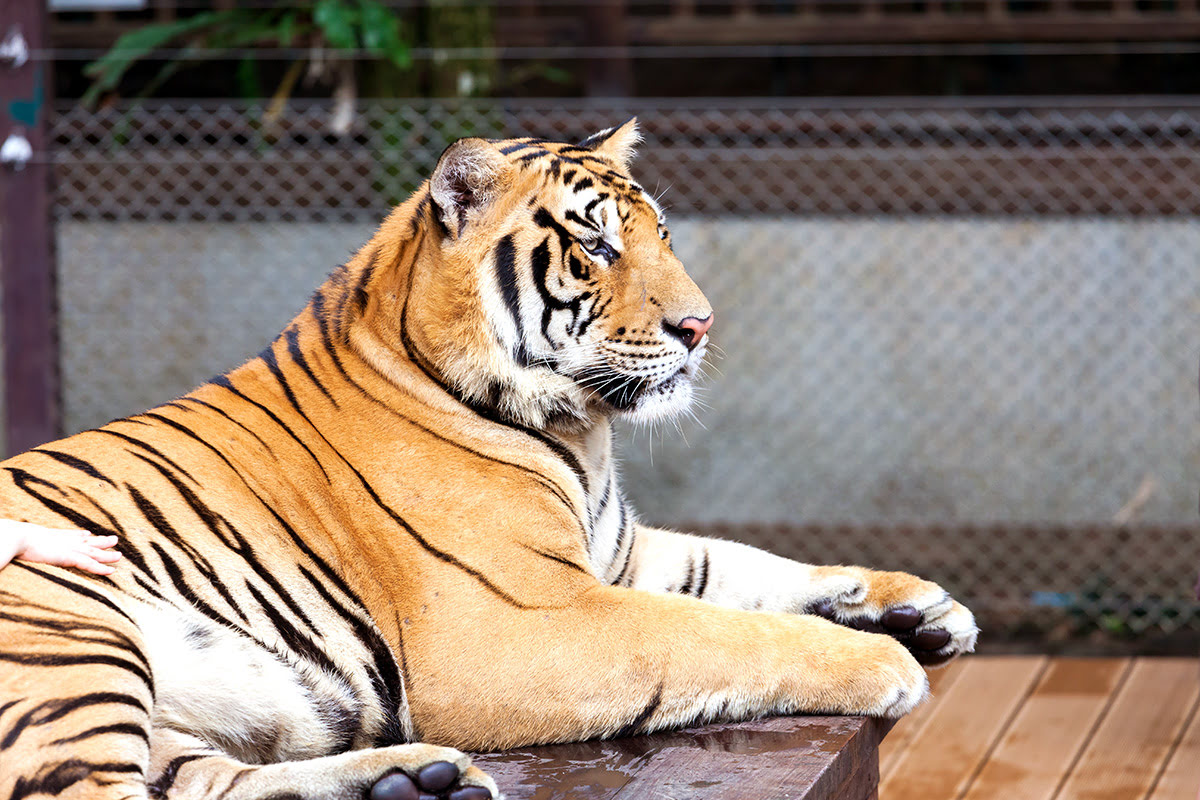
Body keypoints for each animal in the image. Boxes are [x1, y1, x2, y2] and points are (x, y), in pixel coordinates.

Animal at [0, 120, 974, 800]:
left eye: (661, 234)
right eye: (597, 245)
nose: (699, 327)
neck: (580, 435)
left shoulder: (618, 554)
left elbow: (745, 568)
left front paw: (919, 608)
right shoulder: (527, 621)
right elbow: (722, 630)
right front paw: (882, 663)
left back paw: (408, 782)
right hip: (72, 629)